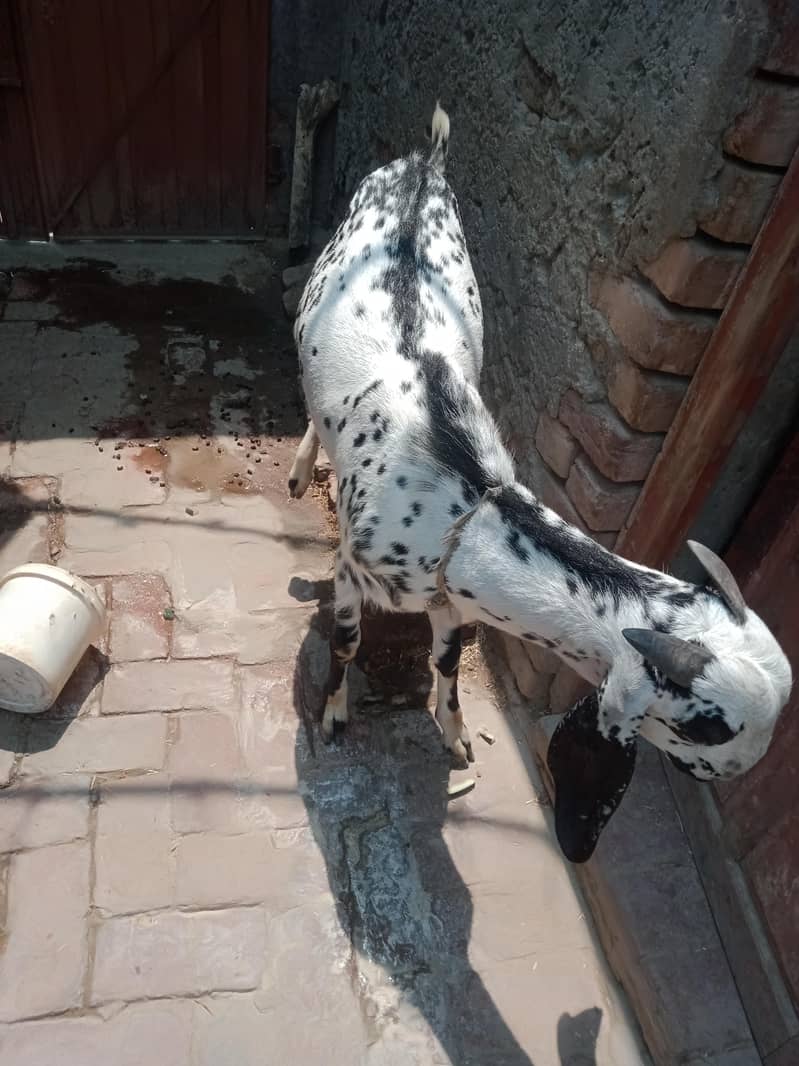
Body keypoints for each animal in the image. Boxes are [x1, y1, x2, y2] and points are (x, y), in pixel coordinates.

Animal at [289, 104, 792, 862]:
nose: (742, 770)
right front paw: (335, 716)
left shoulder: (452, 597)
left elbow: (445, 659)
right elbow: (346, 642)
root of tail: (423, 164)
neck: (464, 507)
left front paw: (455, 736)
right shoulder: (353, 569)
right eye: (706, 737)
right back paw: (299, 468)